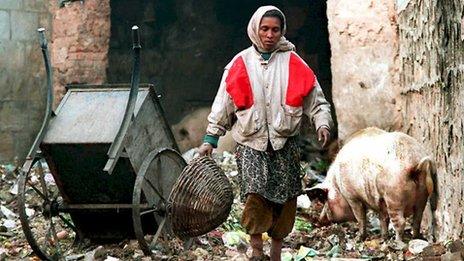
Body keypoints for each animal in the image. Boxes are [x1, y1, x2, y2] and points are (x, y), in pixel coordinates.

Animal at [306, 126, 436, 246]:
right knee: (417, 218)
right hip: (422, 195)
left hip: (394, 196)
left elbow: (360, 217)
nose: (318, 221)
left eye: (325, 200)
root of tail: (415, 165)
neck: (337, 183)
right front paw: (383, 238)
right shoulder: (381, 202)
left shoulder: (352, 196)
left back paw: (397, 244)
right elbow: (383, 219)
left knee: (401, 222)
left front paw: (358, 239)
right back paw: (415, 238)